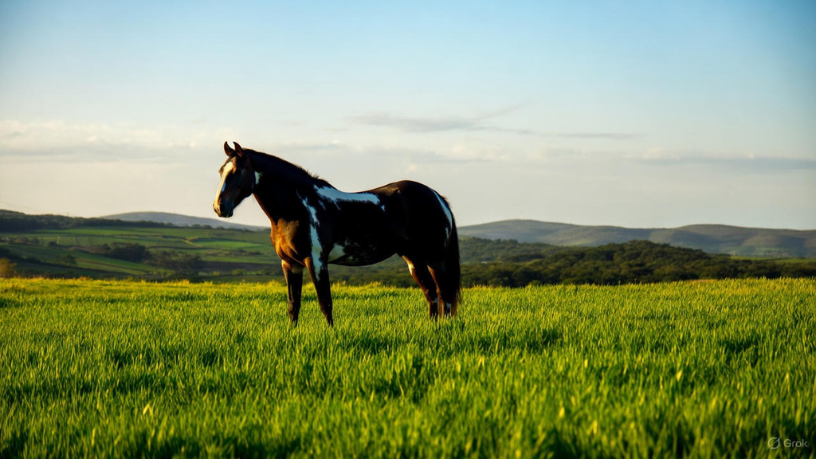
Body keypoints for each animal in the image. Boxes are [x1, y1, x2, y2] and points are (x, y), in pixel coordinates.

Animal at [213, 141, 461, 326]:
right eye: (220, 171)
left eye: (237, 171)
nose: (219, 207)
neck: (298, 207)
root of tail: (437, 196)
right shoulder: (290, 264)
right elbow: (293, 305)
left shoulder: (315, 261)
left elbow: (325, 302)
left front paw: (330, 334)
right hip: (413, 259)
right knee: (432, 294)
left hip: (436, 259)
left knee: (445, 295)